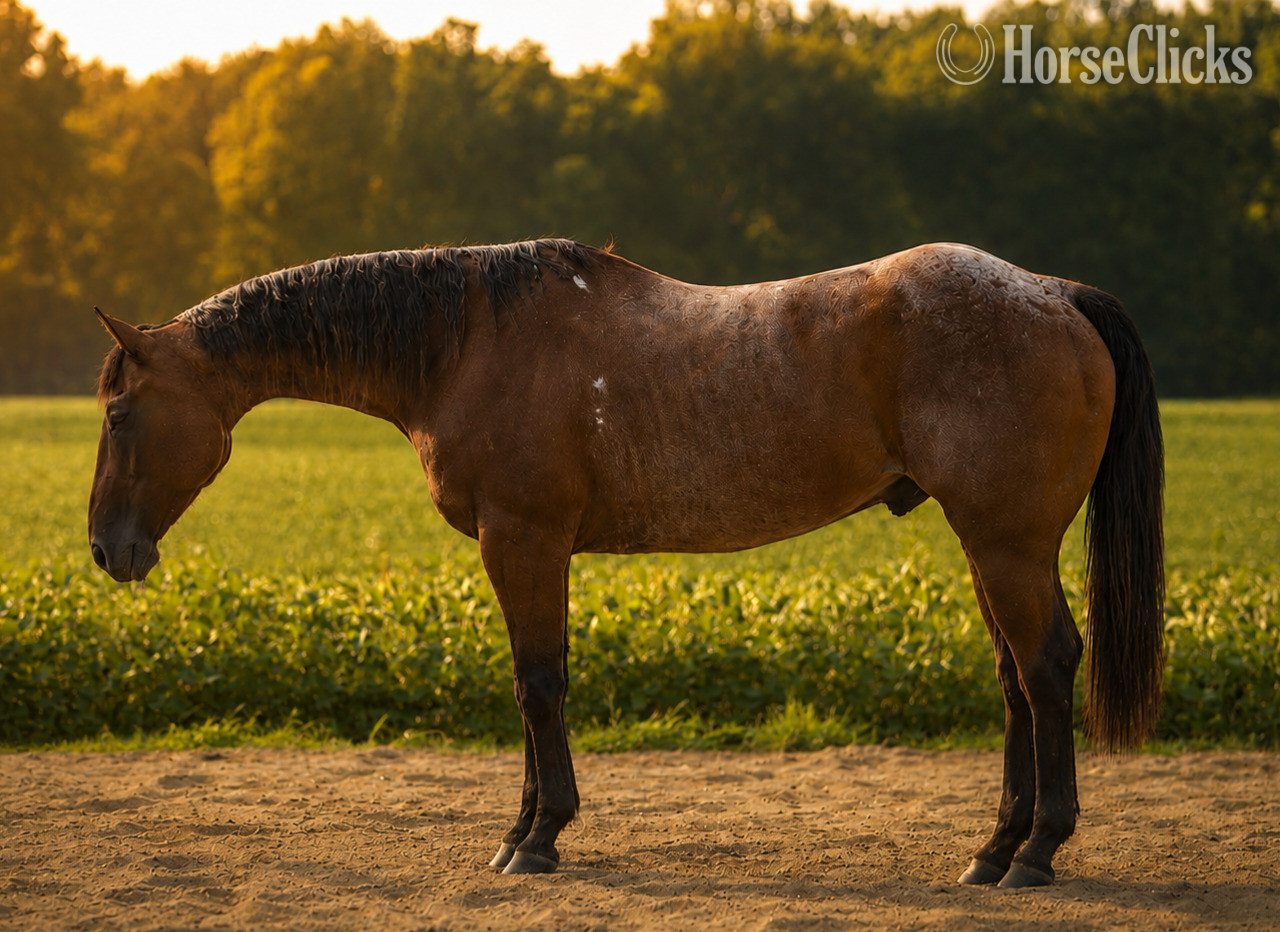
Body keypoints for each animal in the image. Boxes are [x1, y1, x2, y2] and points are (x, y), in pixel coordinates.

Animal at [89, 238, 1164, 887]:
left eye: (118, 412)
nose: (107, 548)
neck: (465, 342)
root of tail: (1053, 294)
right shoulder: (533, 548)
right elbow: (537, 684)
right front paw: (524, 829)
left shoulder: (522, 539)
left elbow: (537, 686)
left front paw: (538, 838)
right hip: (988, 546)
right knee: (1017, 681)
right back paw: (994, 849)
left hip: (1007, 544)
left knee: (1045, 670)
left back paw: (1037, 852)